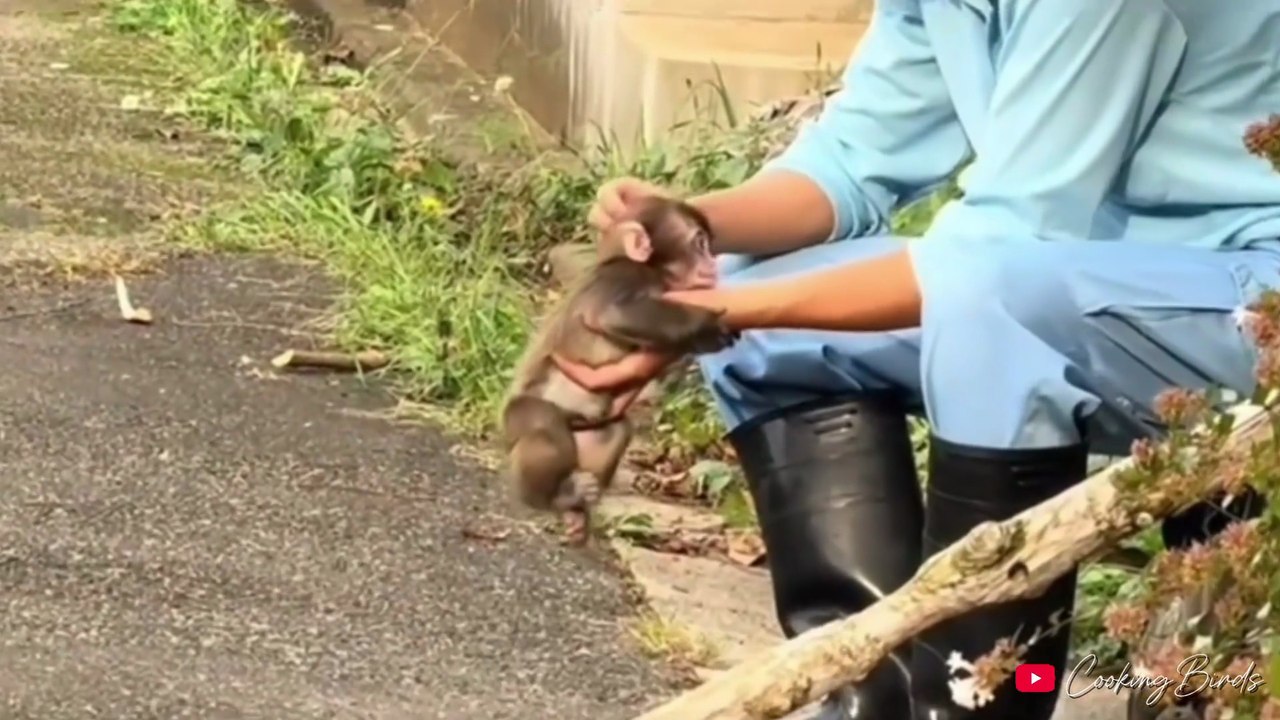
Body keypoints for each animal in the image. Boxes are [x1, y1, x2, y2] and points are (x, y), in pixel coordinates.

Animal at [500, 196, 735, 545]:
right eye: (700, 243)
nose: (714, 264)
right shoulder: (628, 275)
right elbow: (613, 314)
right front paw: (707, 324)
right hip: (518, 415)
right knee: (545, 427)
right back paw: (548, 498)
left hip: (586, 429)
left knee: (614, 431)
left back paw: (575, 510)